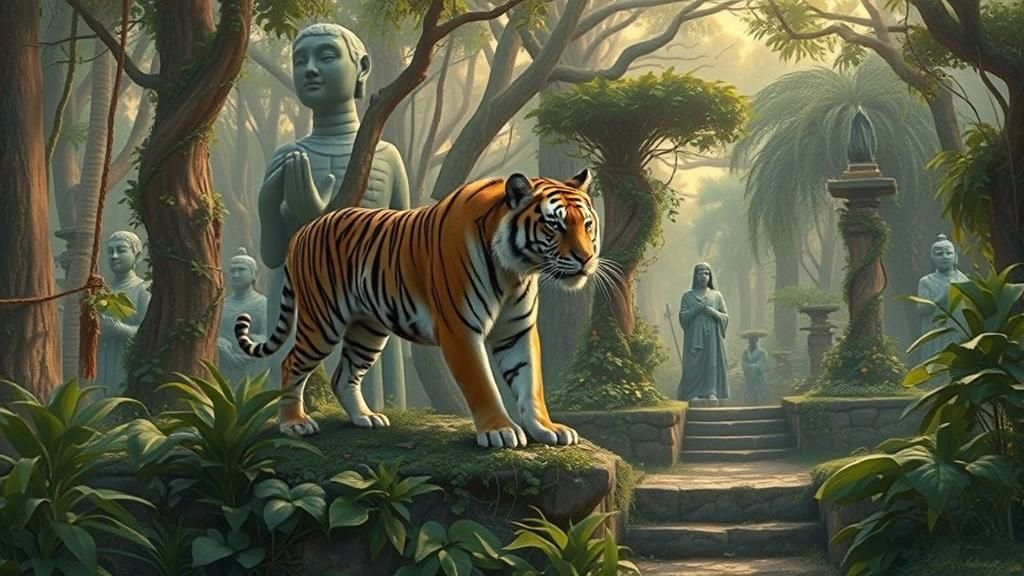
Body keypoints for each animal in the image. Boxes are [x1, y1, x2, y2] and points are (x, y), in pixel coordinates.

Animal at [235, 169, 600, 449]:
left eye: (587, 224)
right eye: (554, 225)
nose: (586, 258)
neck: (515, 269)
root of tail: (302, 230)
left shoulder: (517, 330)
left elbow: (530, 381)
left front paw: (545, 429)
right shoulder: (460, 330)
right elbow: (482, 384)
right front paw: (499, 430)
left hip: (368, 330)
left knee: (343, 375)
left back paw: (365, 417)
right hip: (322, 322)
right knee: (290, 363)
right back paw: (294, 423)